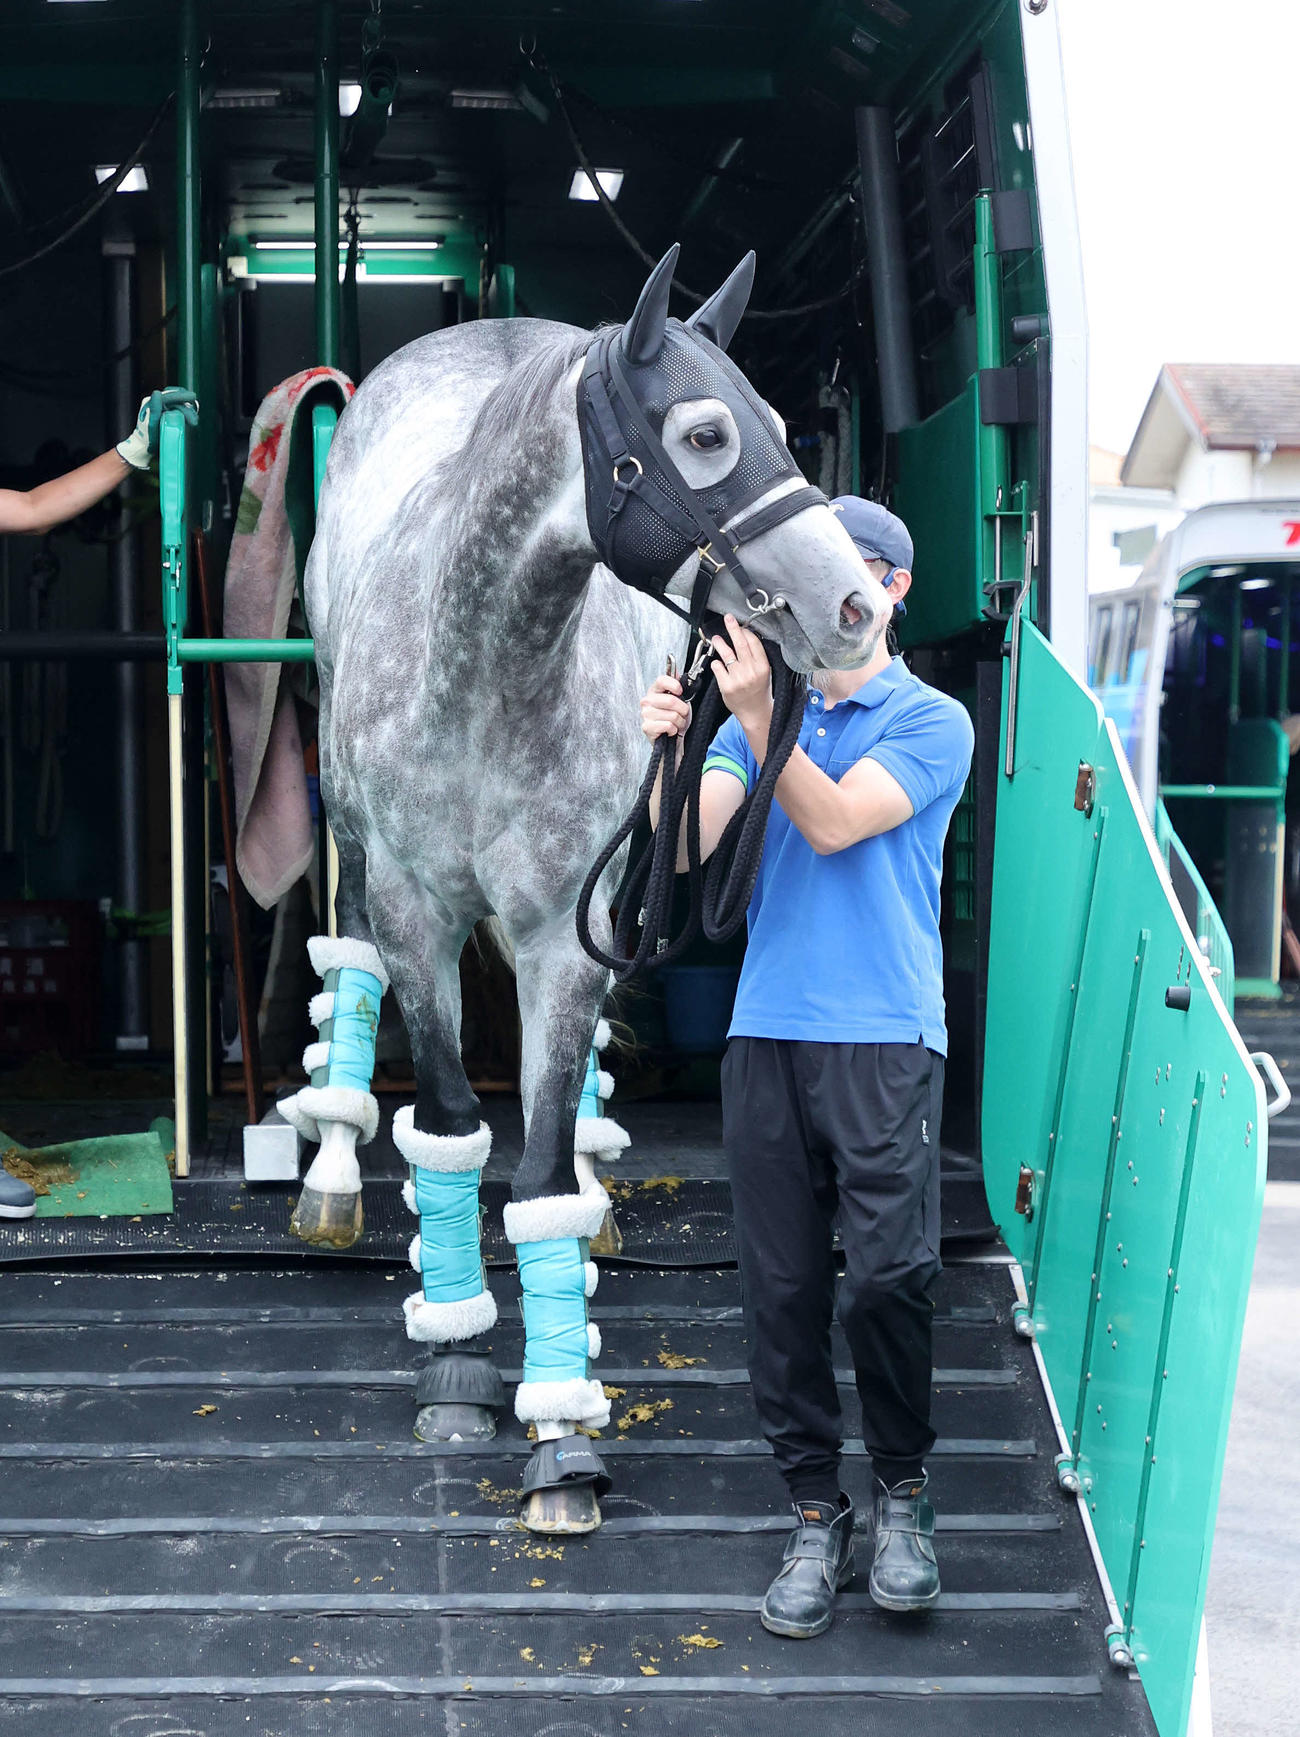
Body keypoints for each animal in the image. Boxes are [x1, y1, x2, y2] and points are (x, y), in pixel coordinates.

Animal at [278, 244, 889, 1533]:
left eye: (781, 425)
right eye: (706, 435)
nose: (852, 610)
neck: (483, 670)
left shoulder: (565, 930)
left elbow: (542, 1166)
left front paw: (560, 1431)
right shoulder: (415, 913)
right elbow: (451, 1127)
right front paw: (458, 1371)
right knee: (346, 970)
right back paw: (333, 1176)